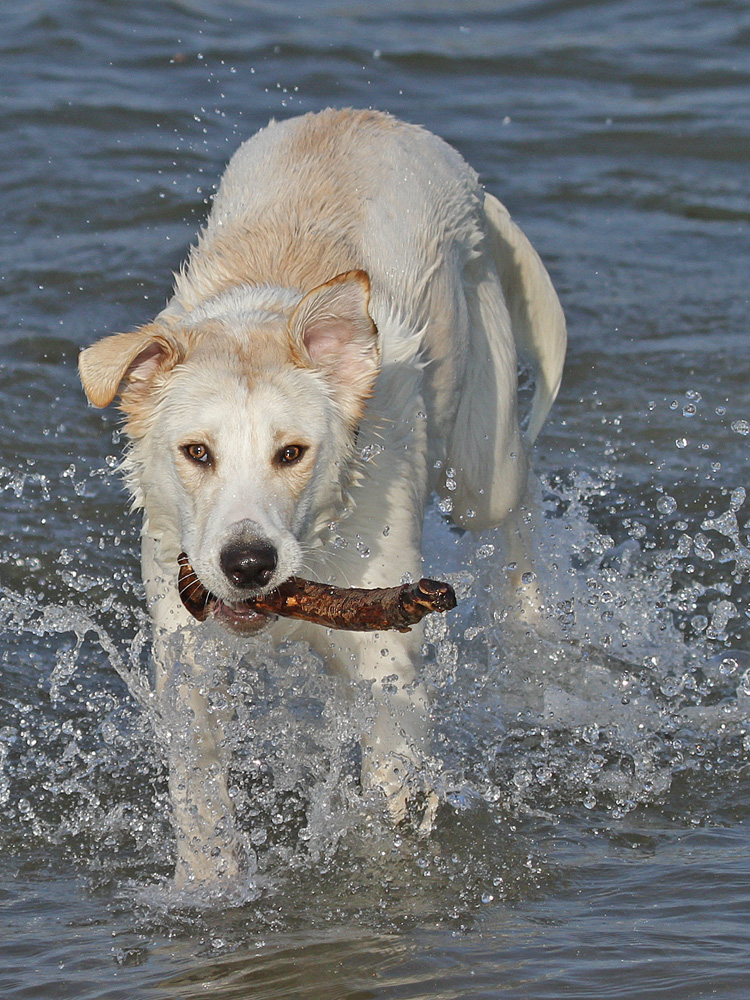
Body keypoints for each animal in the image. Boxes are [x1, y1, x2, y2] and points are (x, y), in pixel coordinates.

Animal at [79, 109, 568, 888]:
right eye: (197, 452)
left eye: (292, 453)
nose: (249, 563)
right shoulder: (187, 642)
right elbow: (197, 779)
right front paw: (210, 881)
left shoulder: (386, 650)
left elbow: (391, 783)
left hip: (481, 457)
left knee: (514, 501)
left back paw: (532, 624)